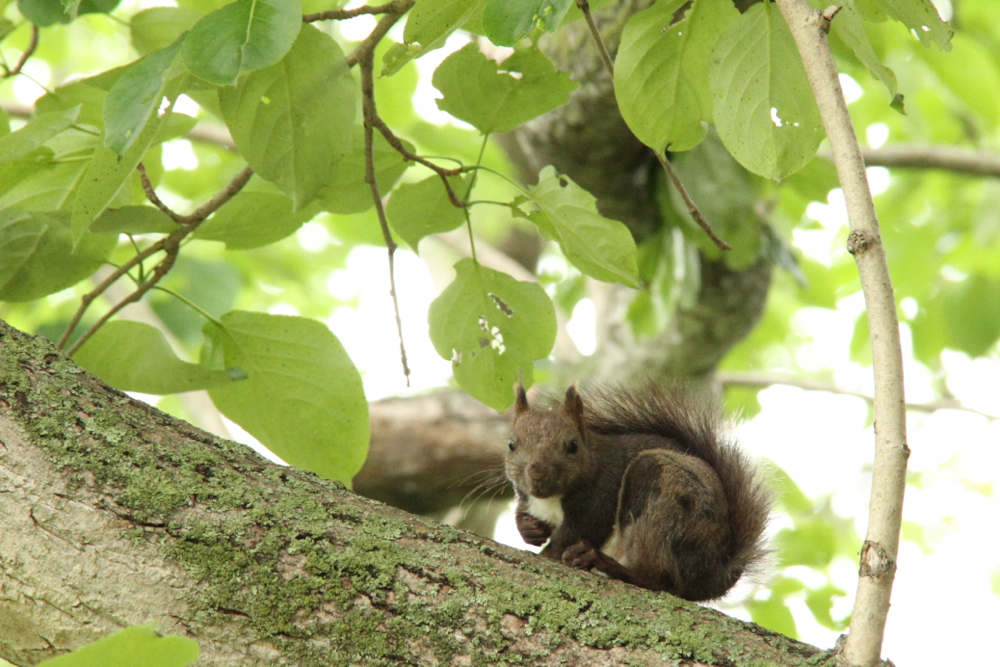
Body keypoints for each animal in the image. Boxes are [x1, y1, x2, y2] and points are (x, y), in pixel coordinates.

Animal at [508, 384, 772, 604]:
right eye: (511, 444)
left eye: (573, 445)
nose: (537, 472)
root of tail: (714, 572)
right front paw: (530, 528)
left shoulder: (599, 500)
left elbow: (574, 531)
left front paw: (548, 554)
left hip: (660, 489)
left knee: (661, 579)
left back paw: (602, 561)